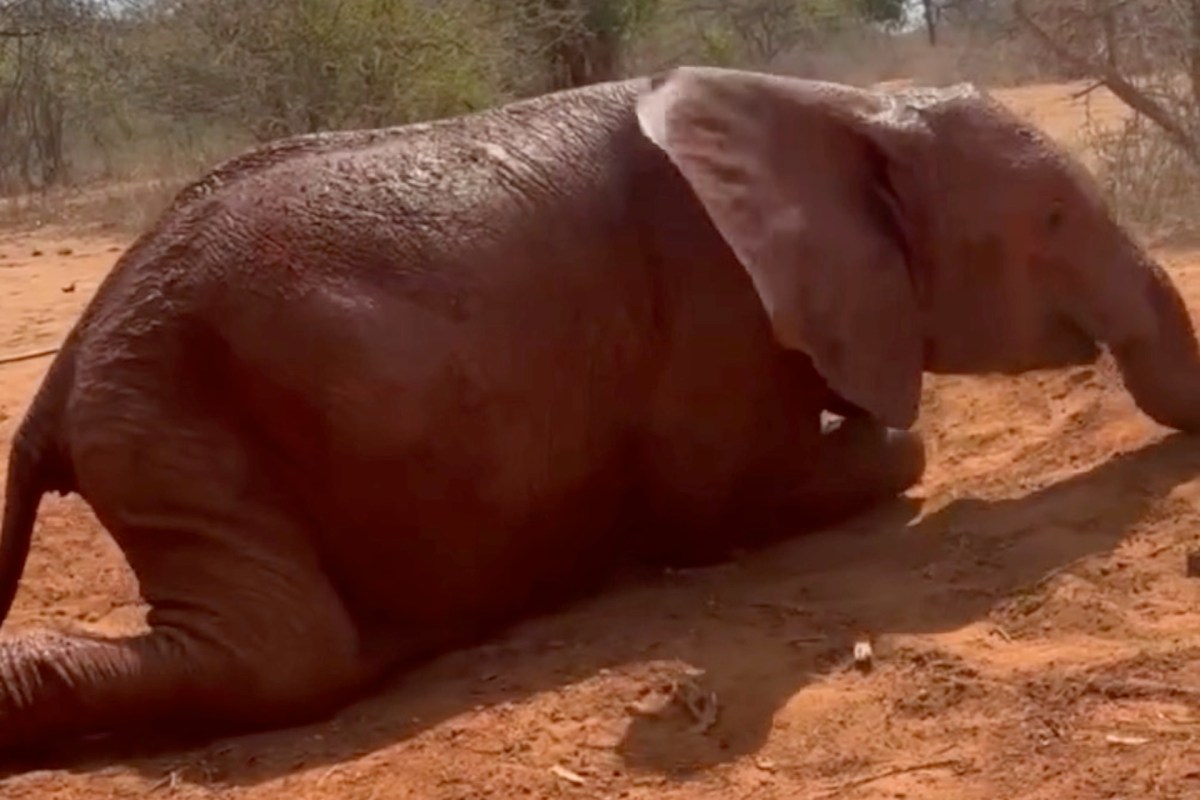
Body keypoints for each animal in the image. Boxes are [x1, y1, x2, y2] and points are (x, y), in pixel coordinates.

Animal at [2, 65, 1199, 756]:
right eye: (1053, 221)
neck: (830, 101)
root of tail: (66, 365)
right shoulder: (711, 297)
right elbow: (735, 498)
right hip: (176, 425)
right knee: (286, 656)